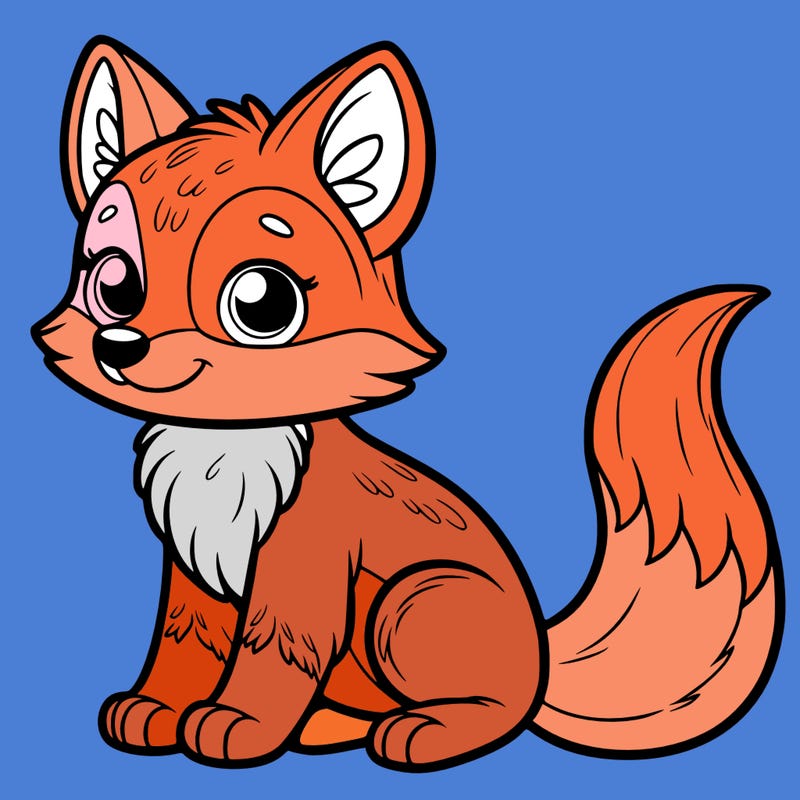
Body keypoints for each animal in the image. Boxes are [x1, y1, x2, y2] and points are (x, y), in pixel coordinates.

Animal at [32, 37, 783, 771]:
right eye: (113, 284)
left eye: (262, 302)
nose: (120, 346)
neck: (228, 446)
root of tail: (543, 656)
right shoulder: (192, 572)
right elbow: (182, 642)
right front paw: (156, 709)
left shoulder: (301, 571)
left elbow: (271, 654)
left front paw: (236, 724)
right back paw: (329, 727)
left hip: (413, 600)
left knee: (500, 711)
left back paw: (423, 731)